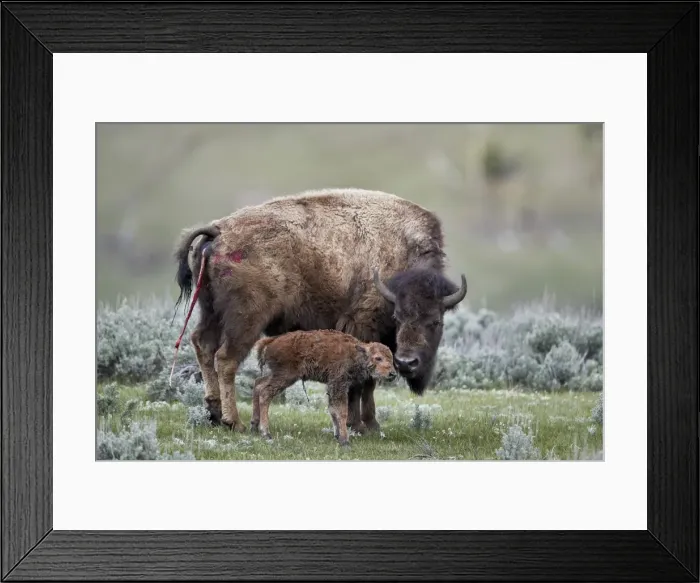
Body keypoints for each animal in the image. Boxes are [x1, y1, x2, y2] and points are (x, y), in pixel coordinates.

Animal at [173, 187, 467, 433]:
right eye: (398, 317)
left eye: (436, 321)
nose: (407, 363)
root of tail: (218, 232)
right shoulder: (364, 327)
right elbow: (365, 382)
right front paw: (364, 425)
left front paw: (366, 424)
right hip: (246, 320)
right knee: (226, 359)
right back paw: (233, 421)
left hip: (210, 311)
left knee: (203, 344)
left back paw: (213, 413)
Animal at [250, 329, 397, 446]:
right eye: (378, 358)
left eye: (391, 358)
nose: (392, 374)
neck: (355, 353)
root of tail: (271, 341)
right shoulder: (338, 384)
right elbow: (342, 411)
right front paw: (345, 441)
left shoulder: (332, 386)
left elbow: (332, 409)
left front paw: (337, 435)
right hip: (285, 376)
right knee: (265, 393)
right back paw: (266, 433)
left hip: (276, 375)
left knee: (258, 384)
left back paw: (254, 426)